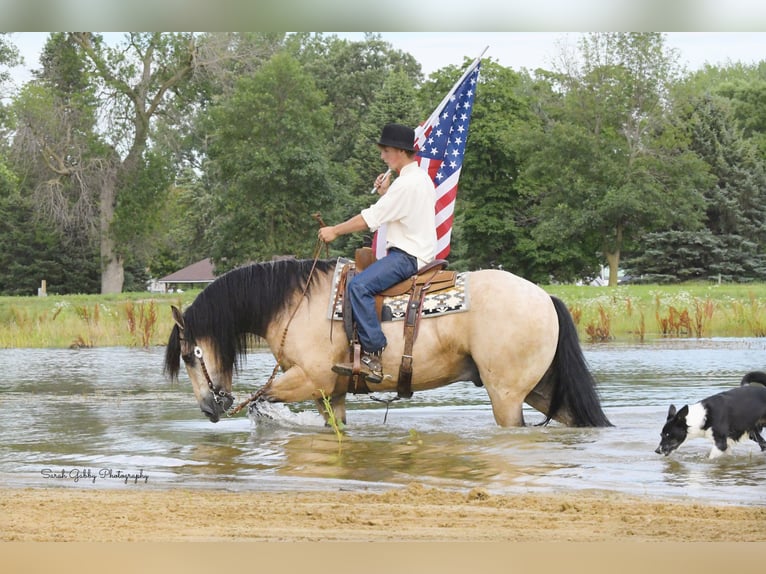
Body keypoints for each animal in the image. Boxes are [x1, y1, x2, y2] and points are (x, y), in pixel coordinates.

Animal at [165, 258, 616, 430]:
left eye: (189, 355)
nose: (209, 408)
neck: (296, 304)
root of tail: (544, 298)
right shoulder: (330, 394)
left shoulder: (308, 380)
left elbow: (264, 396)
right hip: (539, 388)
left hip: (506, 395)